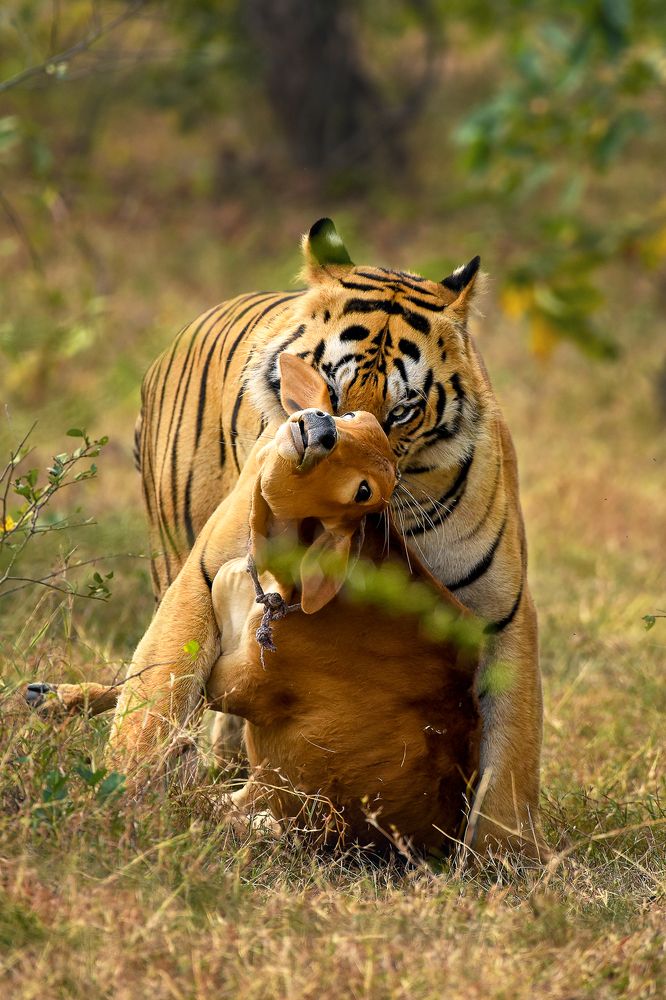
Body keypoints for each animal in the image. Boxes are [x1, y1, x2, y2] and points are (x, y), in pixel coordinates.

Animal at [136, 218, 545, 859]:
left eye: (402, 410)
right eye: (328, 385)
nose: (320, 432)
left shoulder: (502, 611)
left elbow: (513, 759)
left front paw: (509, 861)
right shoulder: (204, 573)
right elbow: (156, 691)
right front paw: (122, 795)